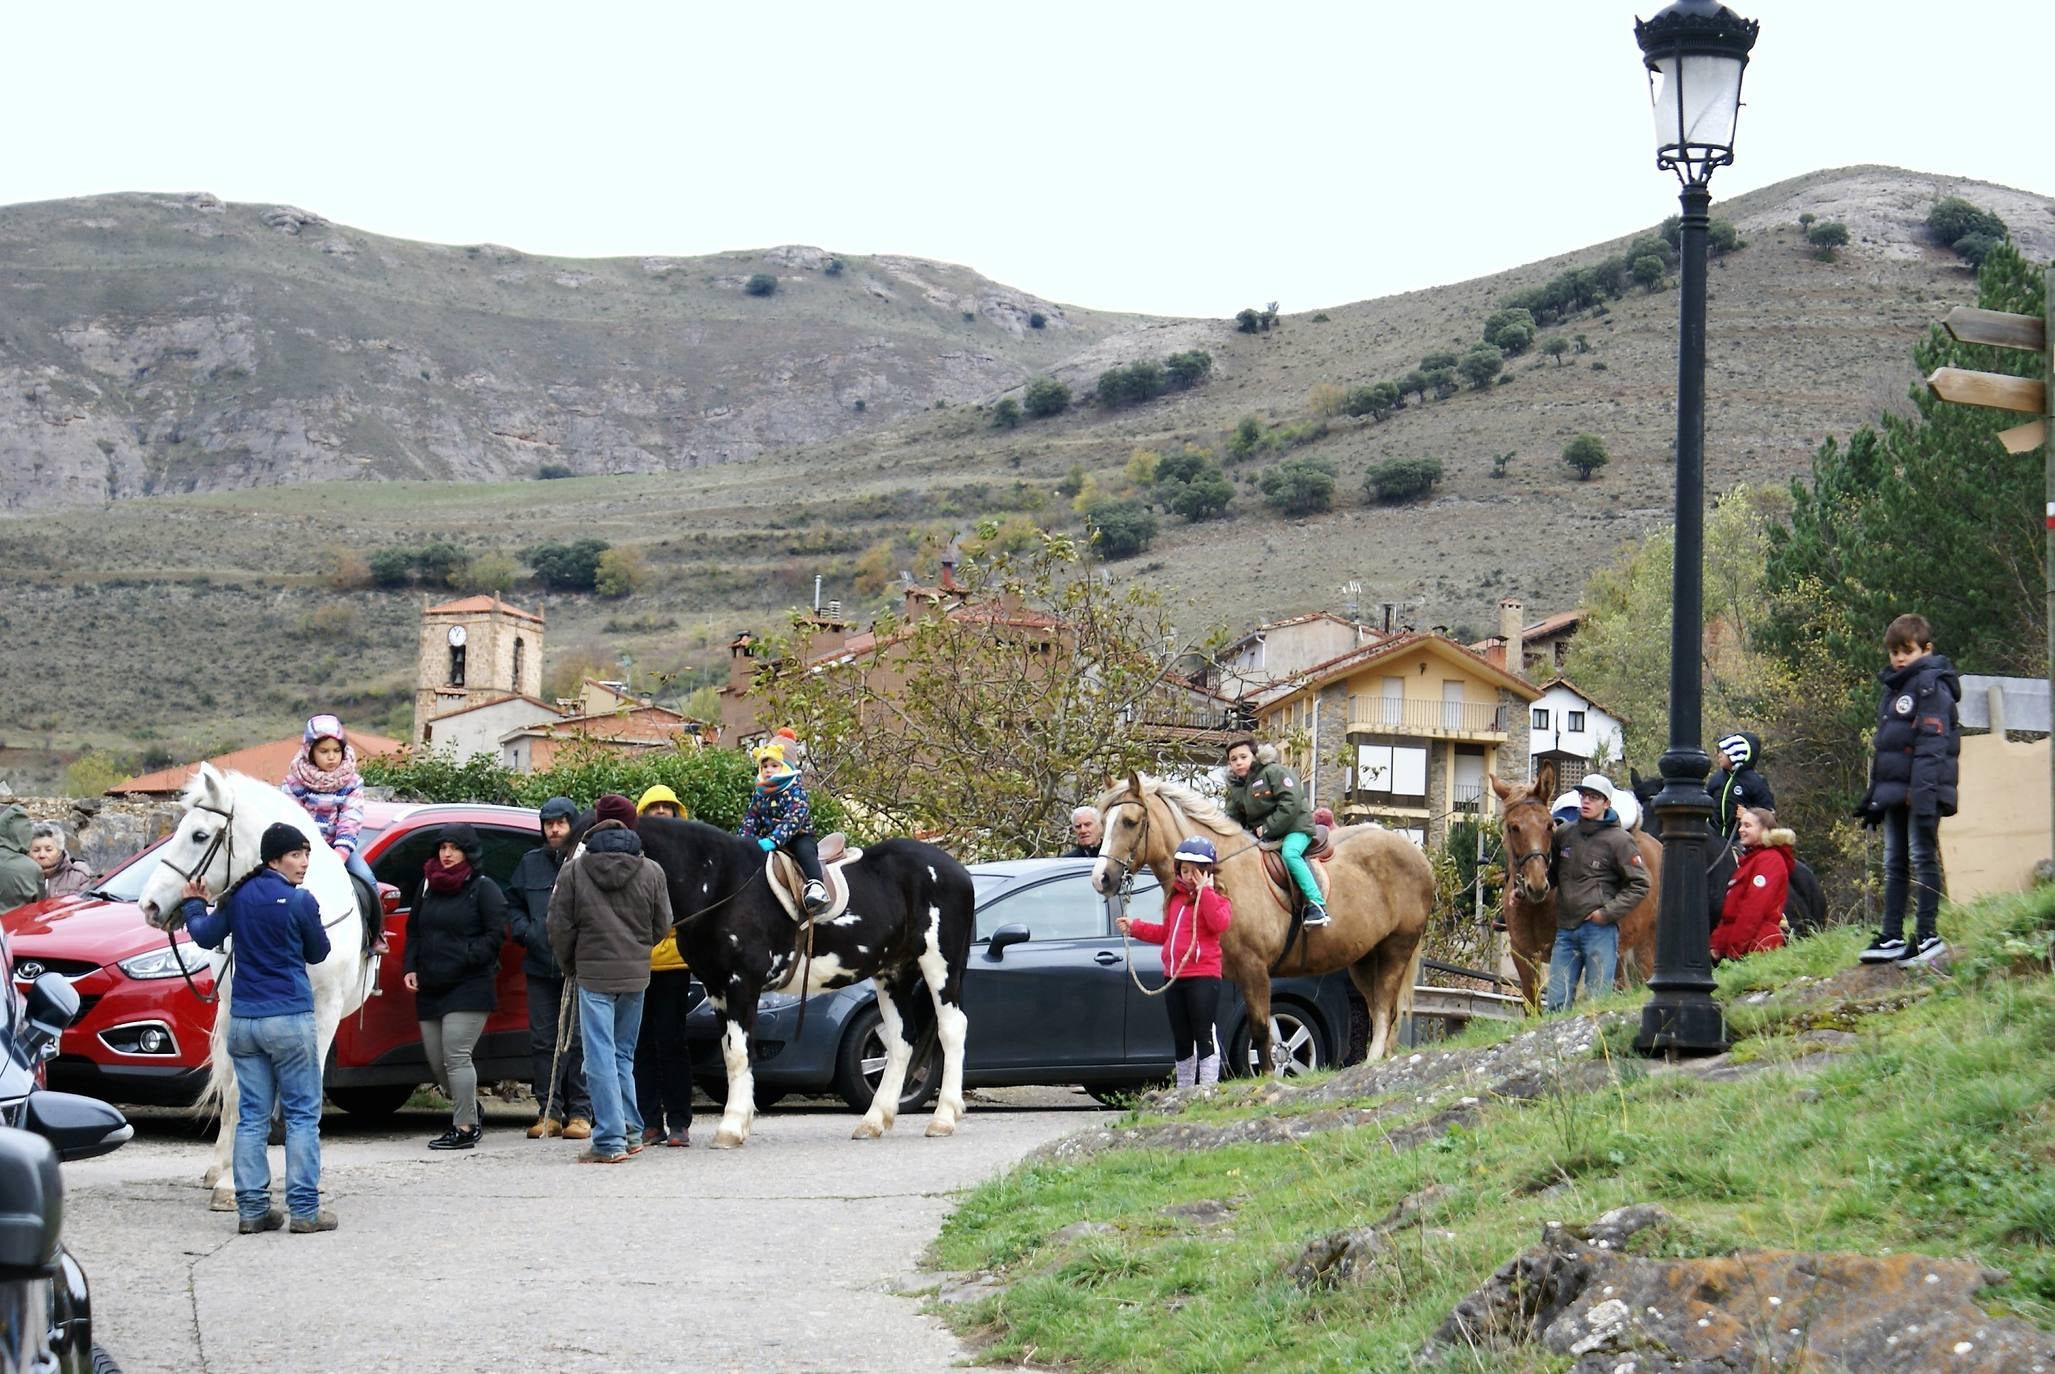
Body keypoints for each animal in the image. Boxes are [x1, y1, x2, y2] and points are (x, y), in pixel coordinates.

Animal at [136, 768, 374, 1207]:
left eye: (199, 835)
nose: (150, 906)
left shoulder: (324, 1014)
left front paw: (307, 1175)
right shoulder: (240, 1011)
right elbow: (240, 1095)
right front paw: (231, 1182)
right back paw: (220, 1169)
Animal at [604, 813, 974, 1150]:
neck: (722, 884)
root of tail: (958, 871)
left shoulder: (741, 985)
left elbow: (737, 1054)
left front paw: (731, 1127)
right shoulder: (717, 989)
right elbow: (732, 1053)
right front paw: (741, 1121)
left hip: (939, 966)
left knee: (951, 1029)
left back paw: (943, 1118)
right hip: (893, 974)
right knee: (901, 1040)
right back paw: (874, 1121)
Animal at [1093, 772, 1430, 1067]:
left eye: (1129, 821)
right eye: (1104, 822)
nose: (1101, 879)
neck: (1220, 874)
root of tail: (1417, 855)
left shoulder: (1254, 969)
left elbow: (1261, 1032)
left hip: (1396, 949)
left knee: (1385, 1010)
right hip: (1364, 959)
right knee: (1379, 1008)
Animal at [1496, 759, 1668, 1006]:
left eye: (1548, 825)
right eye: (1514, 827)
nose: (1537, 885)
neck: (1537, 907)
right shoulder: (1524, 956)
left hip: (1645, 948)